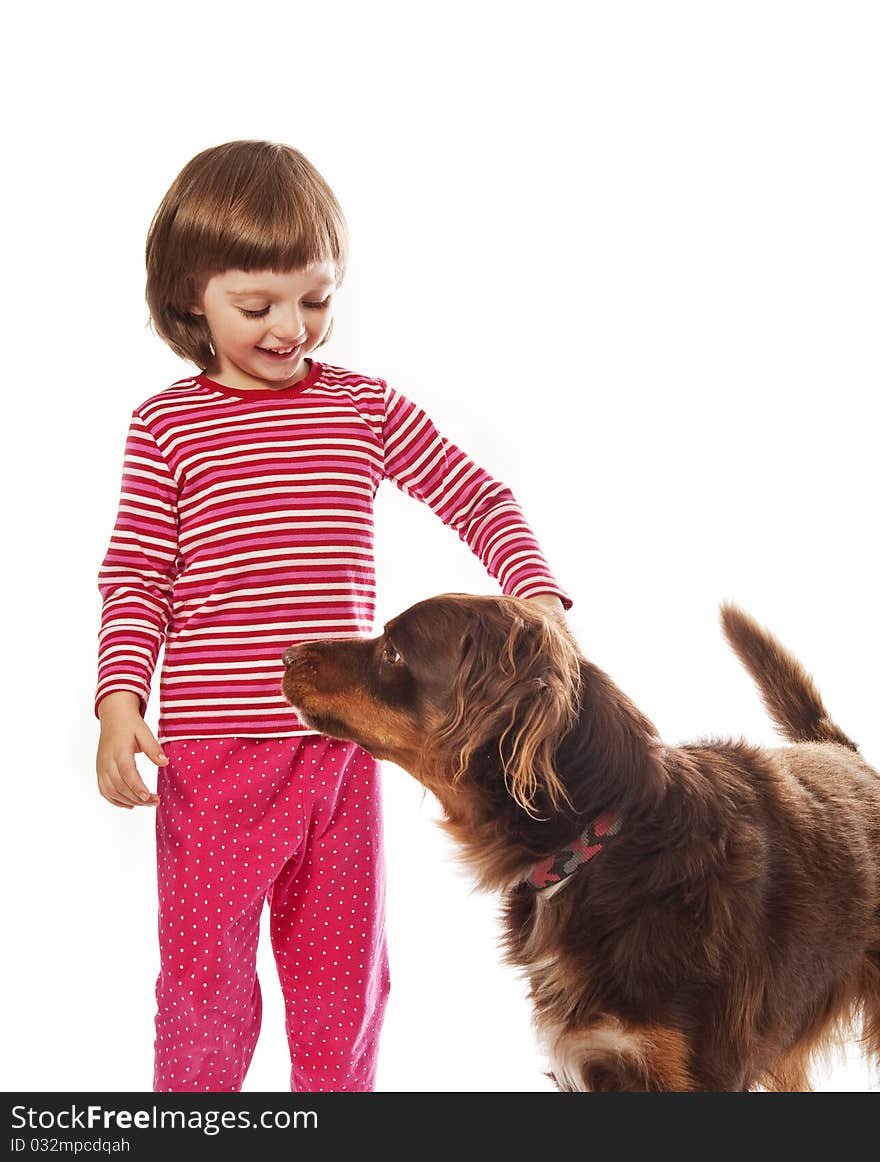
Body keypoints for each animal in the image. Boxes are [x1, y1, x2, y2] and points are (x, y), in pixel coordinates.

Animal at [280, 594, 878, 1092]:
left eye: (393, 651)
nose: (287, 654)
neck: (600, 842)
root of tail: (842, 751)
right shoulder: (598, 1058)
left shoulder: (690, 1070)